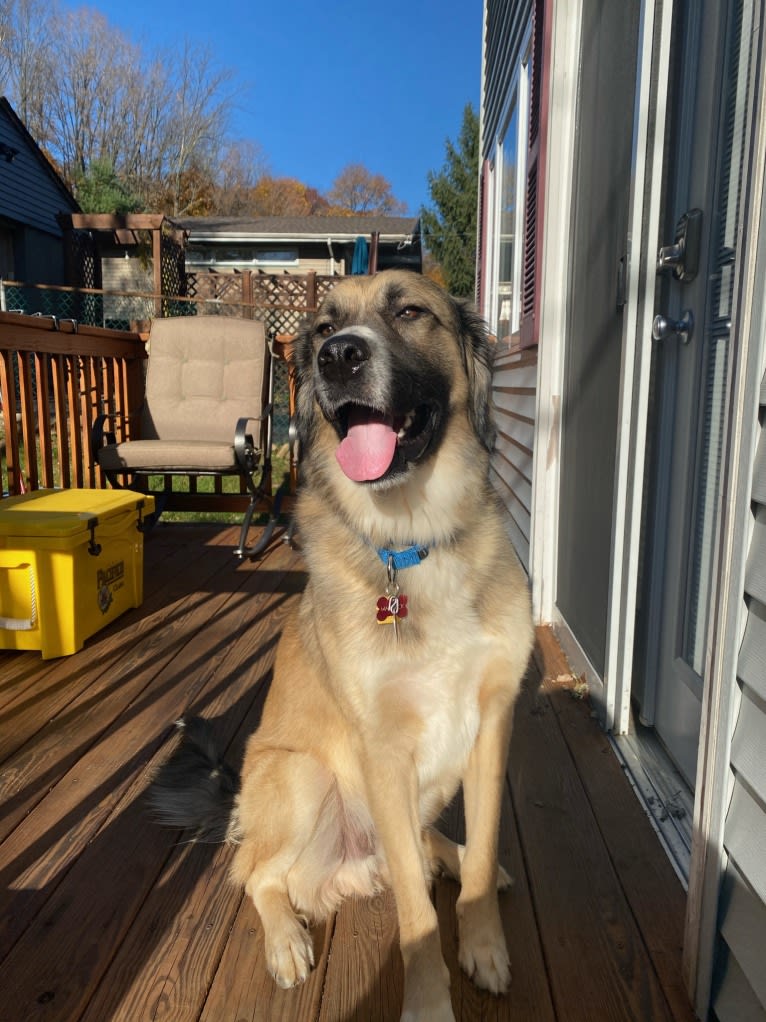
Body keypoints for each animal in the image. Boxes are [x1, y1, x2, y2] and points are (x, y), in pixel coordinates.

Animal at [150, 267, 535, 1017]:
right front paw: (427, 1001)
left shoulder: (492, 722)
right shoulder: (382, 749)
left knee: (418, 843)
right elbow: (416, 916)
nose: (338, 358)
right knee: (254, 872)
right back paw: (285, 942)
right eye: (325, 328)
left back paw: (443, 854)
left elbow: (476, 862)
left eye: (410, 311)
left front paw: (484, 945)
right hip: (300, 775)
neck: (412, 541)